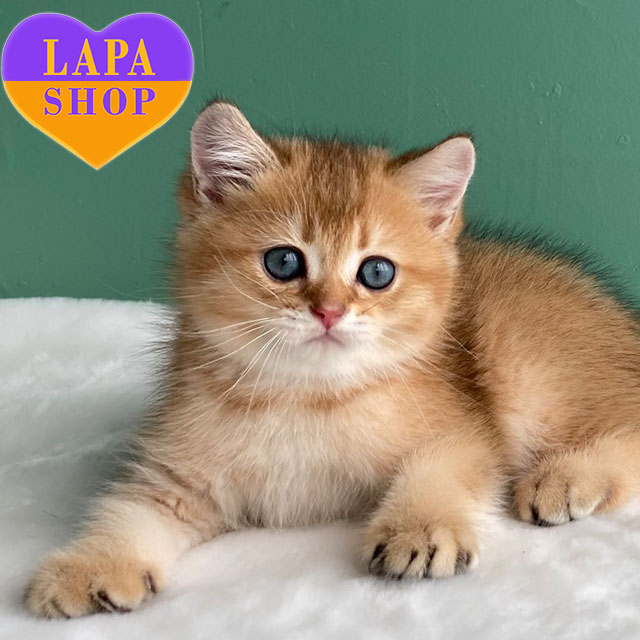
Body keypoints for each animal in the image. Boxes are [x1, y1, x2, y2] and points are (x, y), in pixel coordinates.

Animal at [25, 101, 640, 618]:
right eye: (282, 262)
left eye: (376, 272)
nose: (329, 311)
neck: (303, 396)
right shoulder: (177, 477)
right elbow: (130, 509)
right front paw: (91, 565)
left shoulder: (465, 430)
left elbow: (442, 465)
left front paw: (420, 527)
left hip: (522, 358)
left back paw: (566, 477)